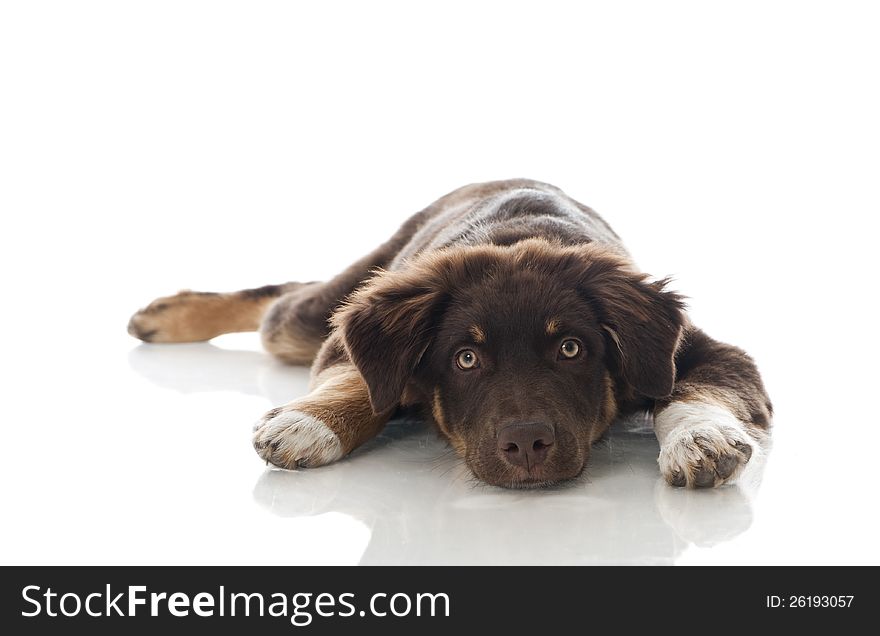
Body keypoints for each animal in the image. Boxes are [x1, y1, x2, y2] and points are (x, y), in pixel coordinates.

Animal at [127, 181, 768, 490]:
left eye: (571, 349)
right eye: (465, 359)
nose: (527, 446)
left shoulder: (695, 350)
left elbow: (693, 392)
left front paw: (701, 440)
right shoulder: (354, 342)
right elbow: (359, 383)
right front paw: (308, 424)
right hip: (318, 311)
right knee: (284, 301)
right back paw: (164, 315)